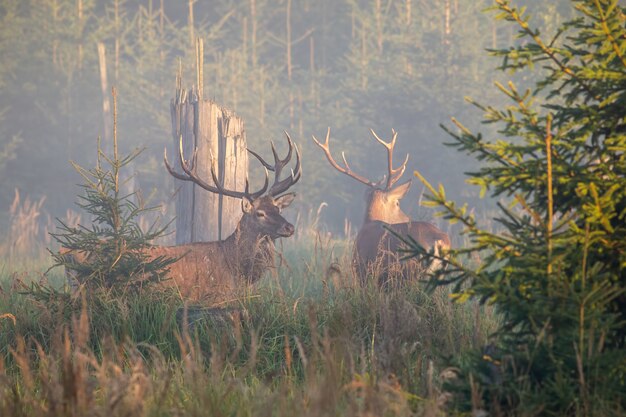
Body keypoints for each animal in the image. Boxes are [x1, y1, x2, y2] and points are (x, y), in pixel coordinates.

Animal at [62, 132, 302, 302]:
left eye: (278, 209)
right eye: (260, 213)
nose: (289, 227)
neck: (236, 269)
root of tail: (68, 254)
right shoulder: (213, 297)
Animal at [312, 127, 448, 286]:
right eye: (397, 203)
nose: (407, 218)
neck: (369, 223)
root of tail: (438, 241)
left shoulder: (363, 273)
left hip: (411, 272)